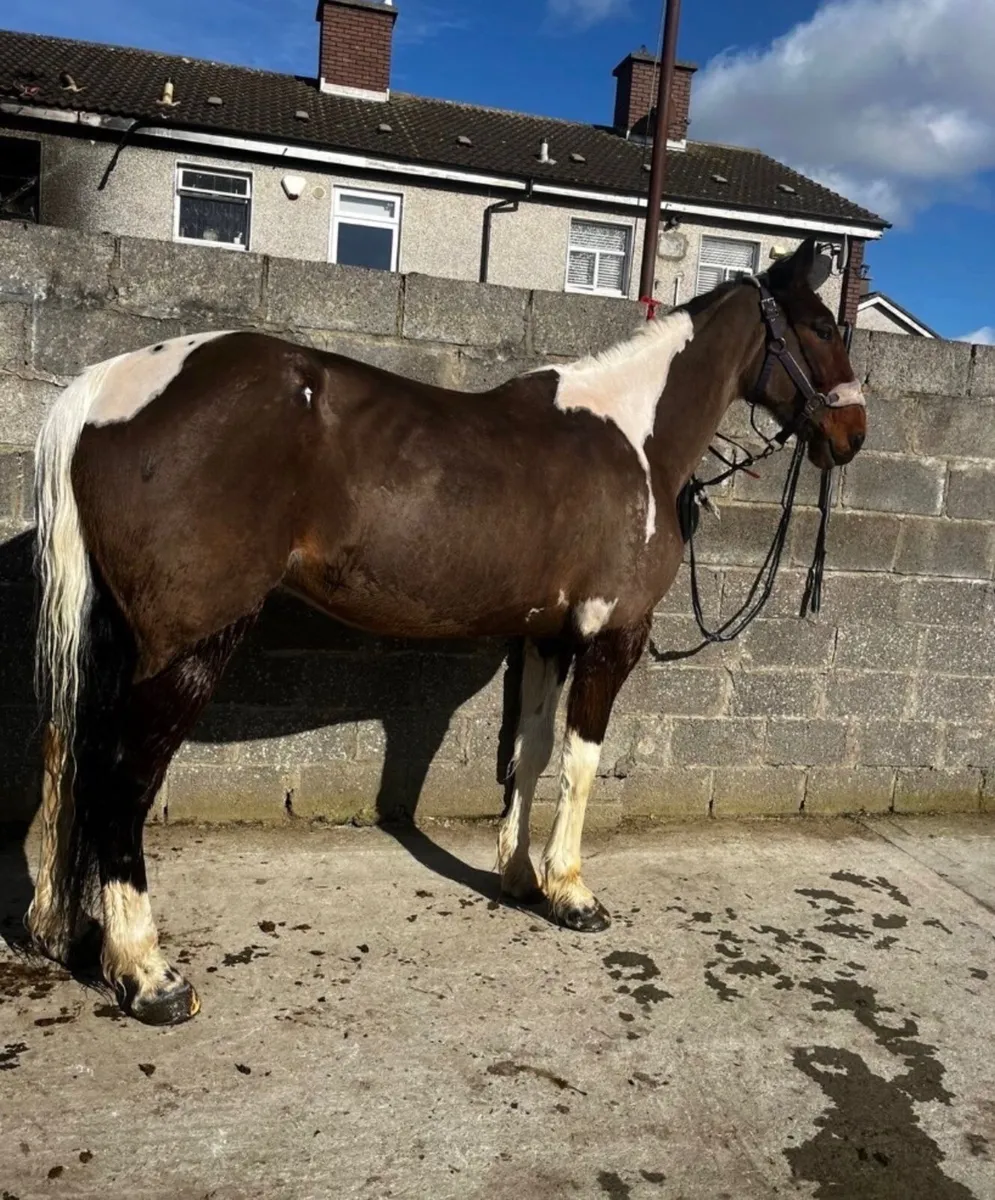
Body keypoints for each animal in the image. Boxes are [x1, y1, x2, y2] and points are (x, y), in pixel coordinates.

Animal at [25, 238, 866, 1025]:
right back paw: (148, 975)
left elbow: (529, 753)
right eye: (823, 326)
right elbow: (581, 761)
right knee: (124, 779)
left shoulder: (544, 637)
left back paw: (62, 932)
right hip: (186, 647)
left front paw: (519, 878)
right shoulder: (610, 636)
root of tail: (105, 388)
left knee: (68, 752)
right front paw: (571, 893)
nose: (852, 432)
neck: (633, 438)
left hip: (113, 640)